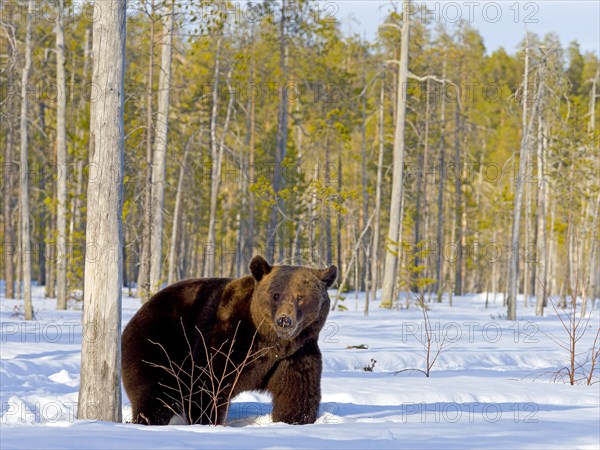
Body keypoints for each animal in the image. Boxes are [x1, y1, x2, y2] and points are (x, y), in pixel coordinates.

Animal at [122, 256, 338, 426]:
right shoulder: (226, 338)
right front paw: (207, 421)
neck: (269, 340)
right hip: (159, 346)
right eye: (276, 295)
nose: (284, 320)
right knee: (156, 393)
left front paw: (294, 420)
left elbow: (296, 394)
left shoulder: (296, 355)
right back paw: (148, 420)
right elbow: (207, 385)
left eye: (300, 296)